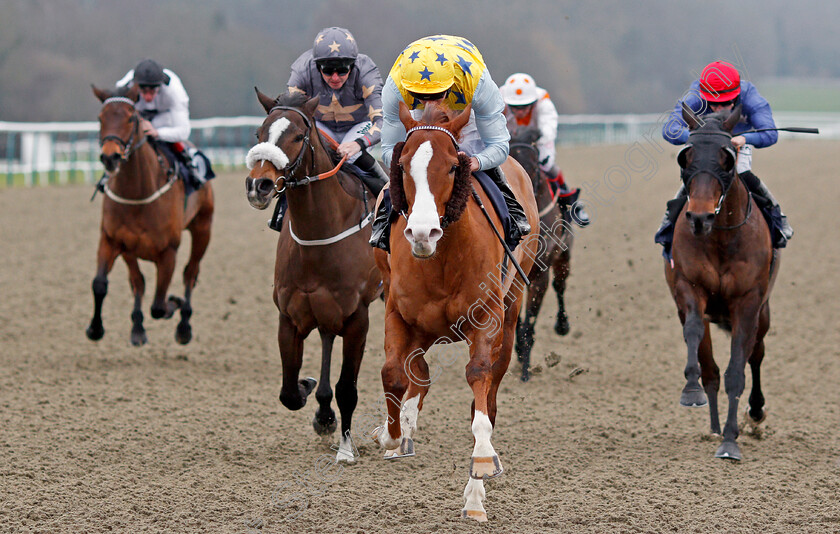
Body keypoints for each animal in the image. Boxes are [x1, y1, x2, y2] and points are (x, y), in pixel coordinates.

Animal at [86, 87, 213, 348]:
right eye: (100, 118)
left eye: (130, 118)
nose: (110, 158)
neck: (137, 194)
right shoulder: (113, 240)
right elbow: (102, 284)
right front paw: (96, 329)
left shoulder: (168, 252)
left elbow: (159, 305)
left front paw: (175, 303)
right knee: (139, 282)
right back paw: (138, 328)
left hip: (203, 228)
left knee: (190, 273)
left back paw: (184, 325)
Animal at [372, 100, 540, 524]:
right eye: (402, 166)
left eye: (451, 166)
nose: (422, 232)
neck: (441, 260)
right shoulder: (398, 312)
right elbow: (393, 373)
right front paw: (392, 433)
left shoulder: (486, 317)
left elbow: (479, 377)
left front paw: (478, 479)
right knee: (417, 372)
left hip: (512, 306)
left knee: (493, 385)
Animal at [508, 127, 576, 384]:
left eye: (535, 166)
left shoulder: (540, 272)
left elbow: (529, 325)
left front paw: (526, 371)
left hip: (564, 257)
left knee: (560, 285)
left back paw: (563, 325)